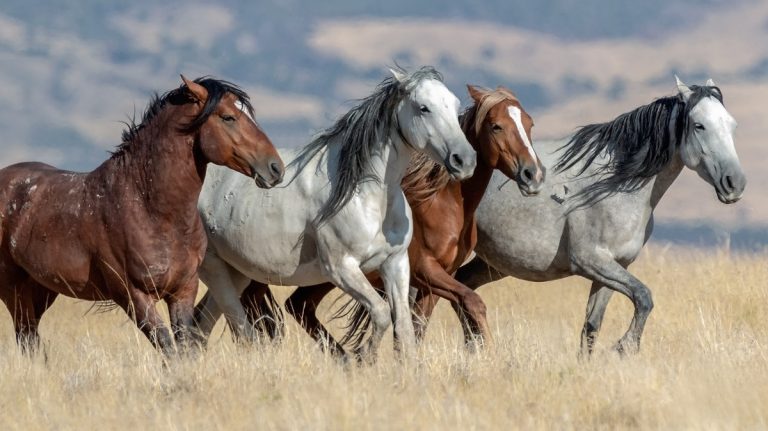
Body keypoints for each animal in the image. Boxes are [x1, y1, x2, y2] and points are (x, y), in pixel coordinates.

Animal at [0, 76, 284, 356]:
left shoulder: (183, 290)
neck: (149, 209)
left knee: (31, 338)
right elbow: (167, 347)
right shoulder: (133, 296)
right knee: (26, 336)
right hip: (14, 289)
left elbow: (184, 347)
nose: (275, 168)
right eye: (228, 117)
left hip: (42, 288)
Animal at [192, 66, 477, 360]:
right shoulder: (342, 269)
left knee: (201, 324)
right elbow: (381, 313)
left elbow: (404, 327)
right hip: (214, 268)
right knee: (232, 324)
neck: (367, 196)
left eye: (455, 106)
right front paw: (363, 359)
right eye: (423, 108)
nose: (464, 160)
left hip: (237, 271)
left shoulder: (396, 263)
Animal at [237, 85, 546, 355]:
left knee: (298, 306)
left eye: (529, 124)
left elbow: (416, 328)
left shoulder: (435, 279)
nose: (533, 174)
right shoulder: (425, 270)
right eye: (496, 126)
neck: (443, 203)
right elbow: (473, 301)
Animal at [423, 76, 745, 355]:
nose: (735, 183)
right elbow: (644, 297)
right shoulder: (591, 261)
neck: (615, 184)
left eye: (731, 124)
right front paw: (625, 346)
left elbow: (592, 326)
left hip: (494, 262)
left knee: (463, 290)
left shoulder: (614, 267)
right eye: (699, 125)